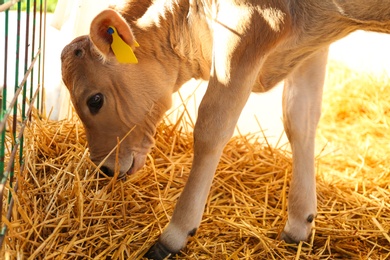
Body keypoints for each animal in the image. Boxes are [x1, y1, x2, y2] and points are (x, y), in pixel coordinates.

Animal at [60, 1, 390, 258]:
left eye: (95, 100)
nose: (104, 168)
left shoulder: (250, 26)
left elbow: (211, 128)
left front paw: (174, 234)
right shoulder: (312, 44)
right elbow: (300, 118)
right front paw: (299, 223)